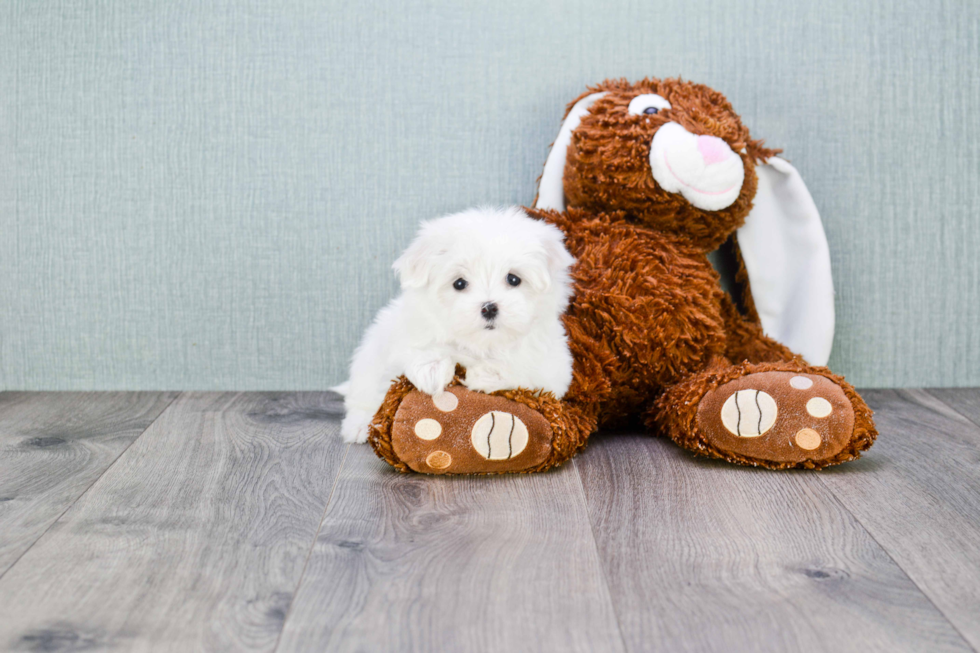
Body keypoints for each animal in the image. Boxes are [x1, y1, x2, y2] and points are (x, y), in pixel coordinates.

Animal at [340, 209, 580, 444]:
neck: (482, 344)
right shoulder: (407, 331)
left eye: (513, 279)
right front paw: (432, 370)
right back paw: (360, 425)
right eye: (459, 283)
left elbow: (525, 371)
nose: (489, 308)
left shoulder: (554, 370)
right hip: (370, 357)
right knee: (366, 394)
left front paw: (485, 374)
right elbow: (420, 347)